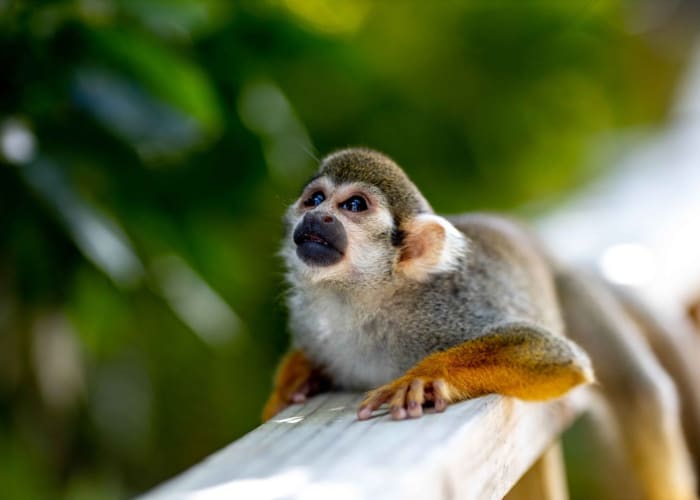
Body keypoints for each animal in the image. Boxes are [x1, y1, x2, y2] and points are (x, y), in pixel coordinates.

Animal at [263, 148, 698, 500]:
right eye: (315, 199)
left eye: (354, 205)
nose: (318, 216)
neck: (365, 300)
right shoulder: (311, 325)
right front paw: (295, 379)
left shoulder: (447, 308)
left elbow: (553, 354)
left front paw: (423, 378)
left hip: (571, 293)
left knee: (638, 393)